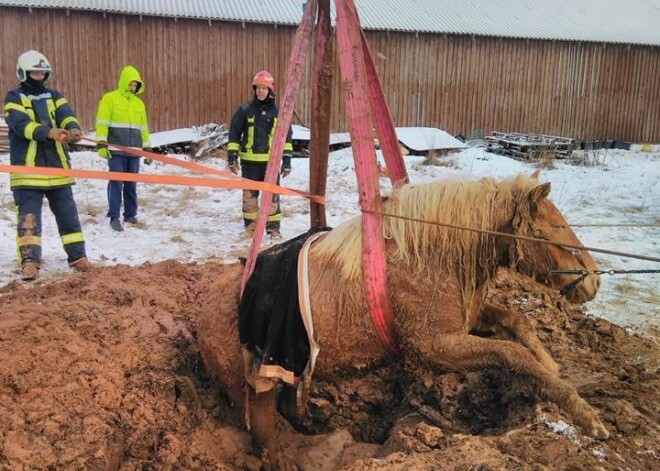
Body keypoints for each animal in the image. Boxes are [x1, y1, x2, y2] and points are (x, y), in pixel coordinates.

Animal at [196, 173, 608, 471]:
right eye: (555, 229)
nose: (594, 280)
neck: (428, 255)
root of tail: (201, 311)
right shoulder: (434, 346)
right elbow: (511, 354)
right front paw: (585, 415)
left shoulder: (466, 322)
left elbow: (517, 322)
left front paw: (552, 366)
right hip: (256, 391)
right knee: (266, 443)